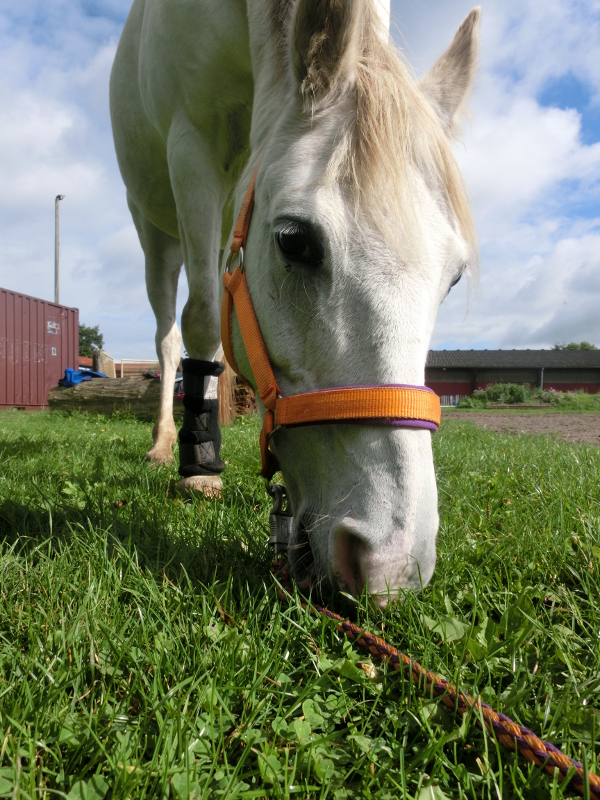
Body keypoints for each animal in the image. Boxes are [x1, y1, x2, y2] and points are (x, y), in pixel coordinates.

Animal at [110, 0, 480, 603]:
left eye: (452, 278)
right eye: (294, 241)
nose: (391, 564)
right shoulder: (191, 146)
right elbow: (203, 318)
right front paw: (199, 465)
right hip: (154, 229)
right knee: (168, 335)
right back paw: (167, 442)